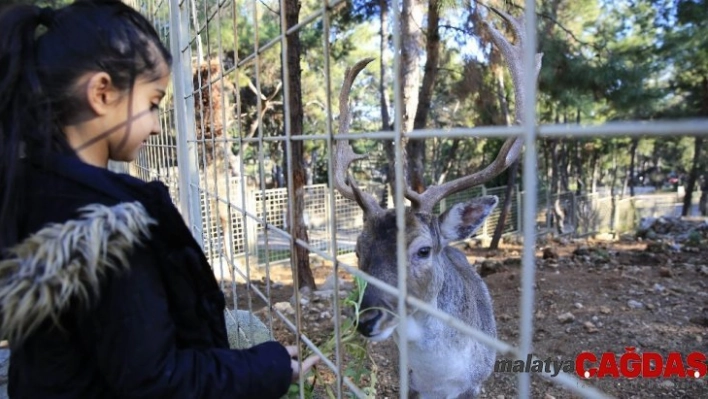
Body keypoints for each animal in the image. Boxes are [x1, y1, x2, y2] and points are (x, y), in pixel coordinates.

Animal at [332, 7, 544, 399]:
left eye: (423, 250)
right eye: (357, 250)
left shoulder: (476, 382)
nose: (367, 319)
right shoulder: (407, 381)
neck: (439, 379)